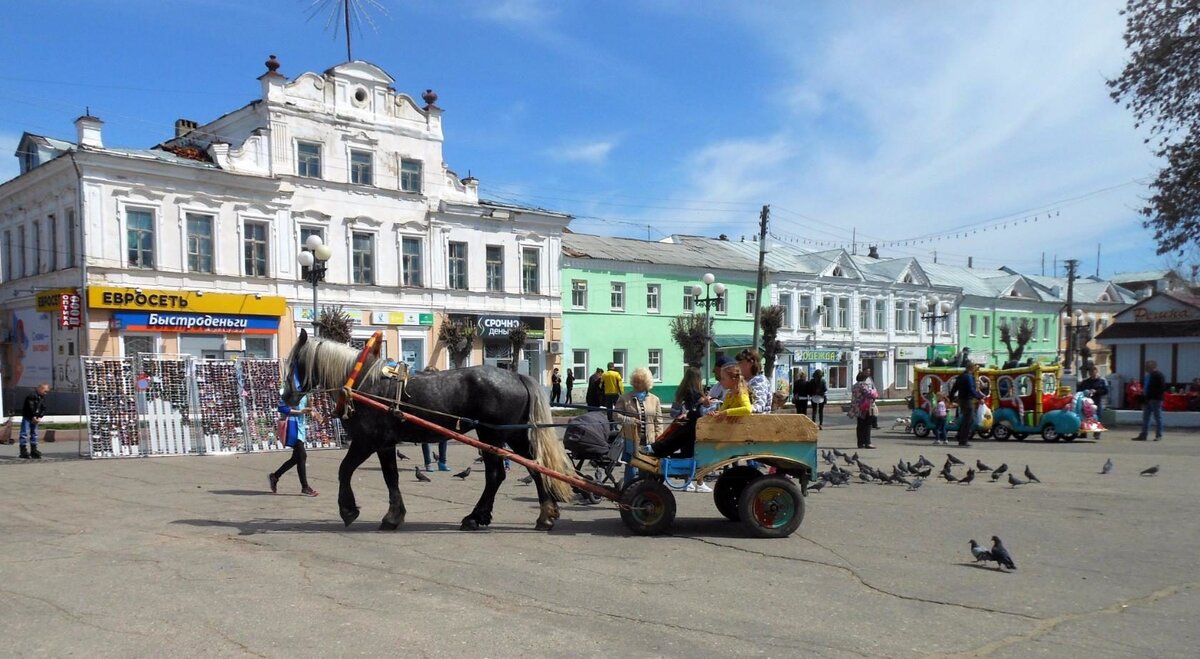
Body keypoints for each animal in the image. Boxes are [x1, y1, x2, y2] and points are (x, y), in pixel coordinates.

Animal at [285, 328, 576, 528]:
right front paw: (394, 516)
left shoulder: (367, 441)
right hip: (514, 435)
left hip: (492, 435)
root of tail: (517, 375)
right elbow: (391, 478)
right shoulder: (385, 444)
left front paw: (348, 510)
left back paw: (475, 517)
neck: (363, 383)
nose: (286, 397)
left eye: (293, 363)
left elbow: (345, 470)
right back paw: (545, 515)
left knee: (496, 475)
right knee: (536, 468)